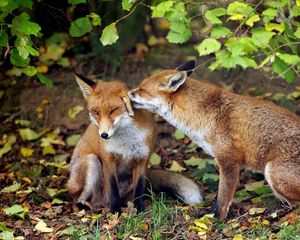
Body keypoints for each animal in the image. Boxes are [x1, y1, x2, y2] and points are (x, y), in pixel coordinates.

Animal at [65, 74, 202, 213]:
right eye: (95, 112)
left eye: (113, 110)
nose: (103, 135)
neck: (126, 141)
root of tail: (100, 202)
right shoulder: (108, 159)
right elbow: (113, 189)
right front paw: (115, 211)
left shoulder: (142, 158)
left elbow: (139, 189)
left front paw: (139, 209)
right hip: (91, 161)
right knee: (77, 199)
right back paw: (84, 206)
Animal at [127, 61, 300, 220]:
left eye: (141, 90)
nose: (128, 92)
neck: (205, 114)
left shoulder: (228, 160)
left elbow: (223, 198)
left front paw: (216, 221)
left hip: (271, 171)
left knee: (296, 205)